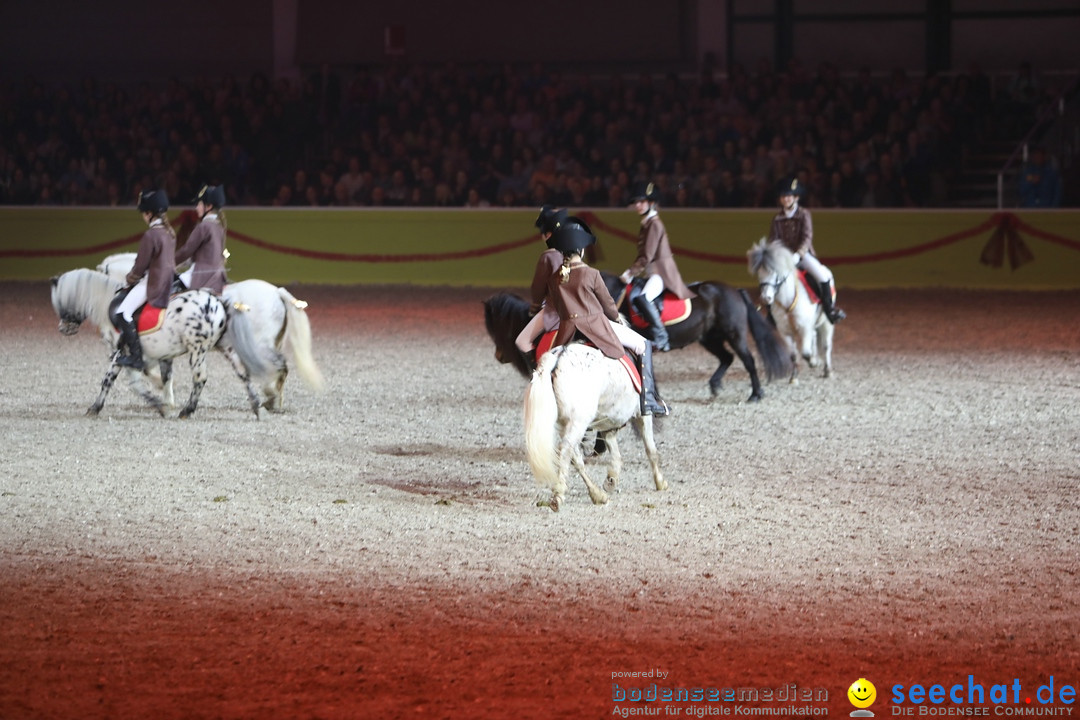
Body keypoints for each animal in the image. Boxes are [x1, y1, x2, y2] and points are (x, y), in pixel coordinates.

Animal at [51, 268, 266, 416]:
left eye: (59, 302)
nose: (63, 328)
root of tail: (218, 301)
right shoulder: (162, 354)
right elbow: (164, 377)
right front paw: (166, 401)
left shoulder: (122, 354)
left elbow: (116, 381)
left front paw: (95, 408)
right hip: (224, 346)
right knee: (242, 372)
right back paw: (257, 406)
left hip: (197, 350)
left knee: (200, 377)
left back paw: (187, 411)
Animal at [97, 252, 319, 410]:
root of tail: (276, 291)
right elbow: (161, 373)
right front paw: (166, 397)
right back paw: (272, 400)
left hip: (259, 345)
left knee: (278, 366)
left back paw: (270, 397)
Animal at [524, 343, 665, 511]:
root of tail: (558, 356)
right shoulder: (642, 415)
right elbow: (651, 450)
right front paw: (660, 482)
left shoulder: (608, 422)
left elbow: (615, 453)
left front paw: (611, 480)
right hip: (578, 422)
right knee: (566, 451)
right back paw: (558, 495)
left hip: (567, 423)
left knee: (575, 458)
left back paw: (597, 494)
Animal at [747, 237, 838, 382]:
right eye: (759, 275)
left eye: (775, 272)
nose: (766, 298)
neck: (787, 299)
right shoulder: (785, 331)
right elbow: (793, 355)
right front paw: (794, 378)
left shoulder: (805, 328)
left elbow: (805, 353)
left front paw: (812, 362)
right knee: (814, 336)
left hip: (827, 322)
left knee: (826, 345)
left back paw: (827, 370)